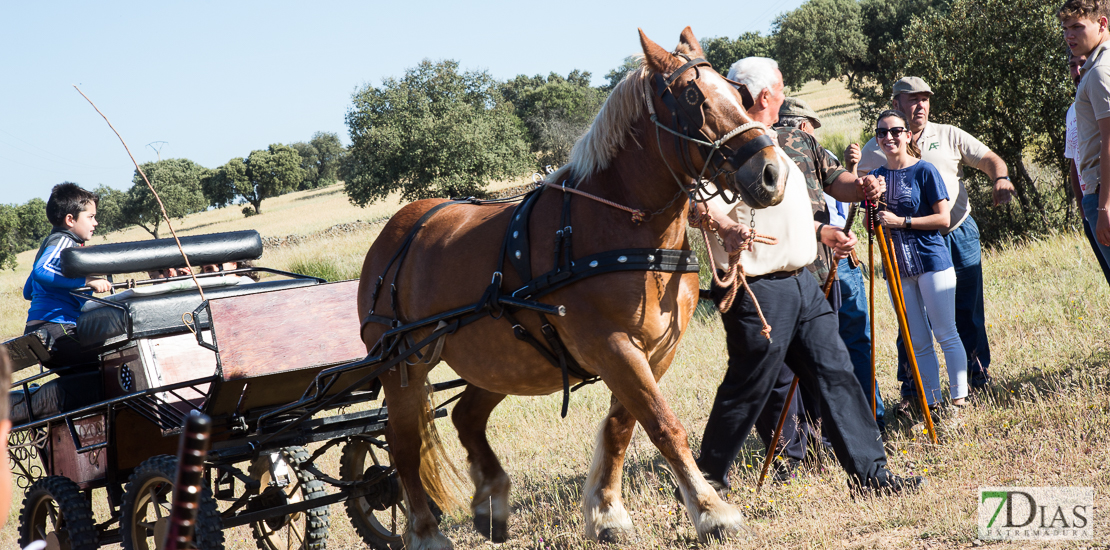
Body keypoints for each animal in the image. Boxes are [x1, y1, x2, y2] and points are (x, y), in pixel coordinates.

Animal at [357, 26, 790, 550]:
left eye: (737, 93)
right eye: (692, 97)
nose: (772, 172)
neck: (620, 224)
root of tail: (394, 232)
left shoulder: (656, 350)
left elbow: (623, 426)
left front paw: (607, 513)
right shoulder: (613, 346)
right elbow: (664, 425)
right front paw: (711, 512)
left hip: (500, 359)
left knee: (465, 417)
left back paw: (491, 502)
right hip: (402, 366)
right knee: (403, 443)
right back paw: (425, 531)